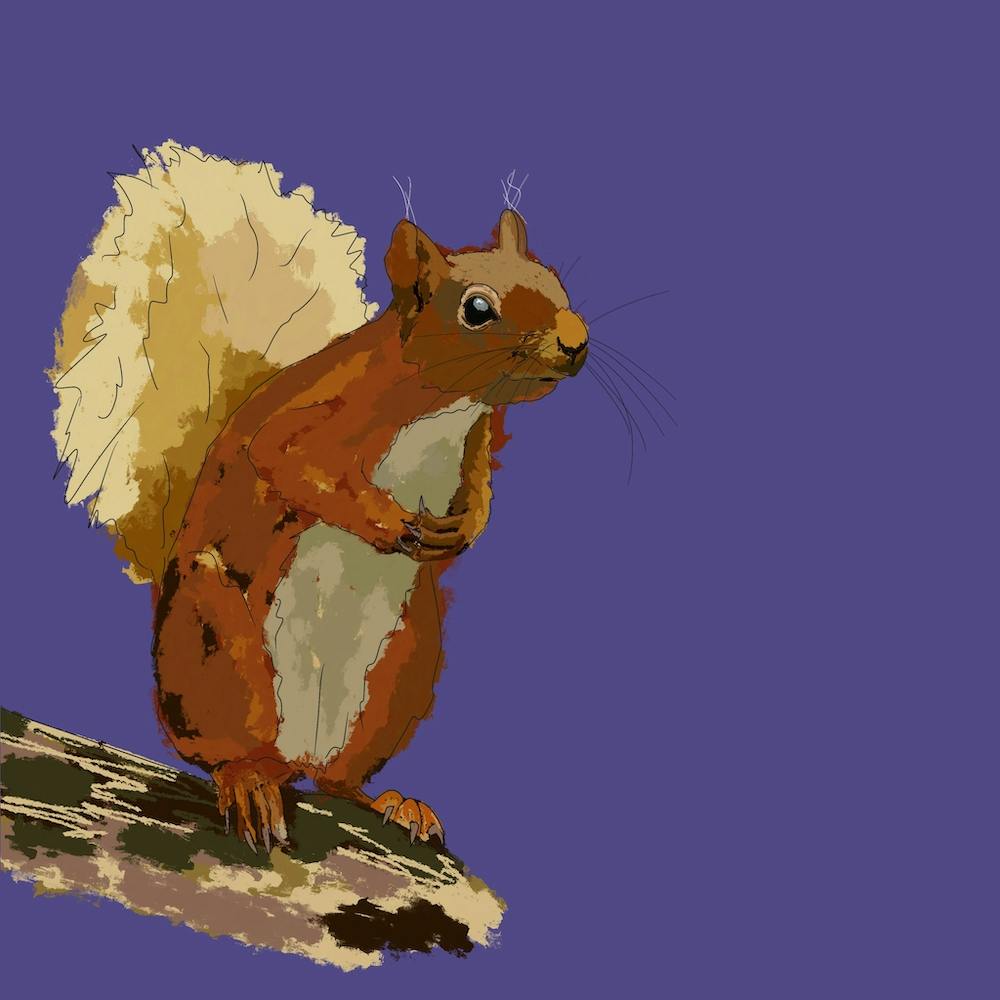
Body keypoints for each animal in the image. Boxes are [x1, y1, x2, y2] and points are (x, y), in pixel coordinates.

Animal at [50, 141, 588, 852]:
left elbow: (479, 490)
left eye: (556, 281)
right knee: (223, 749)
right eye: (477, 308)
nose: (576, 342)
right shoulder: (322, 414)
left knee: (338, 780)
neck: (448, 407)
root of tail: (296, 755)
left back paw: (392, 802)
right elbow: (286, 461)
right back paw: (249, 778)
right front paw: (384, 520)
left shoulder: (477, 442)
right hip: (214, 641)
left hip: (406, 661)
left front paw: (466, 527)